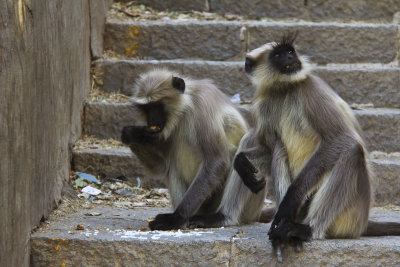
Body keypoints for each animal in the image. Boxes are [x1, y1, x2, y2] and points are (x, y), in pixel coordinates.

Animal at [120, 70, 248, 231]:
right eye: (147, 108)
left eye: (158, 106)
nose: (151, 120)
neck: (187, 106)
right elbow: (161, 167)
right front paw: (133, 134)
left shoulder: (202, 106)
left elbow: (217, 160)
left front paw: (176, 217)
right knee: (173, 165)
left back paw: (219, 217)